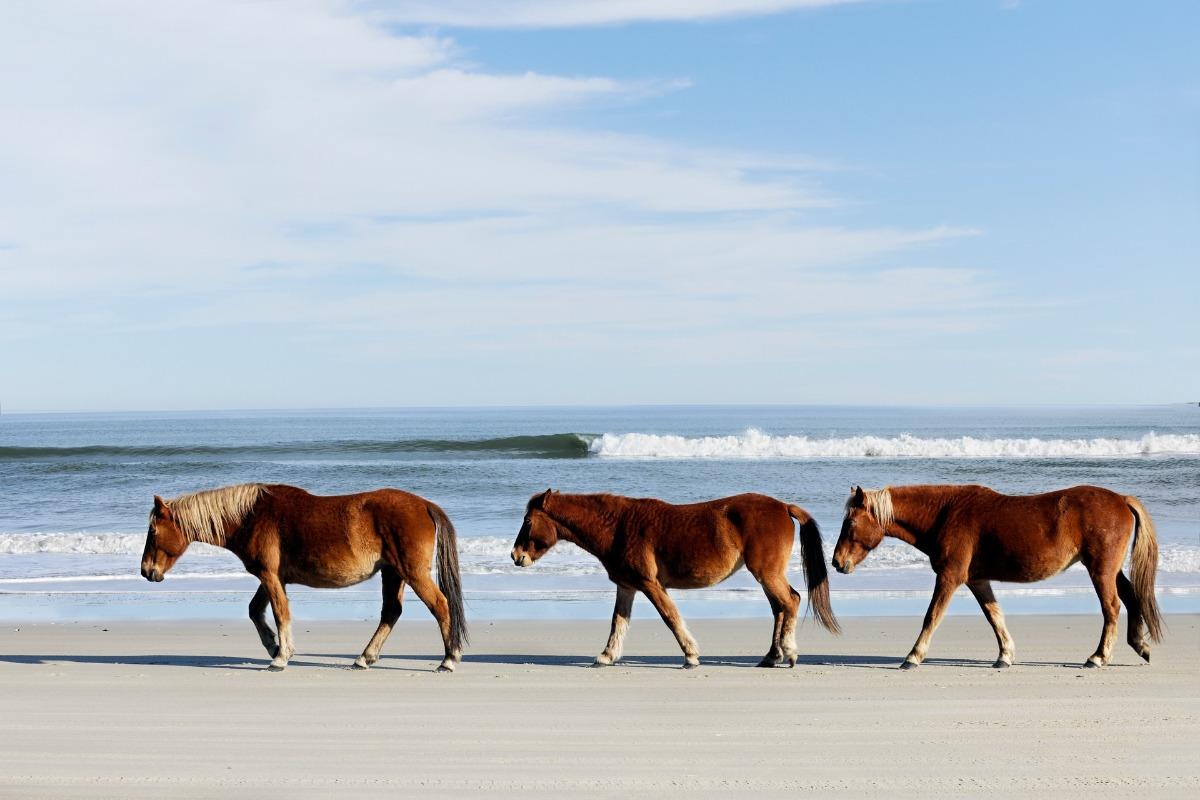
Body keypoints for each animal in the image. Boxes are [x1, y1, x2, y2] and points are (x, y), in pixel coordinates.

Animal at [140, 483, 467, 672]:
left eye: (153, 531)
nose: (146, 571)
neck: (251, 516)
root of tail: (425, 505)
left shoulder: (270, 576)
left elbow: (280, 614)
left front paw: (280, 657)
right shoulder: (272, 578)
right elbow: (256, 611)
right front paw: (274, 646)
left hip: (411, 572)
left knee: (440, 606)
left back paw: (449, 659)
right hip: (393, 572)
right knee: (391, 612)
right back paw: (365, 657)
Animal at [509, 490, 839, 668]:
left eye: (528, 521)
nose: (516, 555)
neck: (618, 526)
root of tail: (783, 506)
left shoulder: (650, 584)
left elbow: (670, 617)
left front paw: (691, 655)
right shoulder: (627, 586)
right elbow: (618, 622)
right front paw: (606, 655)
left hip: (766, 573)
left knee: (790, 601)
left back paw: (789, 652)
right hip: (766, 575)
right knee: (780, 608)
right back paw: (772, 655)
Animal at [832, 484, 1163, 669]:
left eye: (850, 524)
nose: (836, 562)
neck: (946, 514)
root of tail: (1121, 499)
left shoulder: (949, 577)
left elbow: (932, 616)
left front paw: (913, 656)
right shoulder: (977, 580)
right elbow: (995, 616)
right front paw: (1005, 655)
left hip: (1101, 570)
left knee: (1112, 608)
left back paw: (1099, 657)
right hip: (1109, 569)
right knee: (1130, 597)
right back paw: (1139, 645)